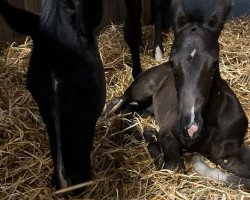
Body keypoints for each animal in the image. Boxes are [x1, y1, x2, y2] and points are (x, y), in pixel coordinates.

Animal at [105, 0, 250, 191]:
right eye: (172, 63)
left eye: (215, 63)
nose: (190, 127)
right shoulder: (168, 134)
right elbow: (174, 166)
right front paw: (151, 136)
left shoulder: (226, 152)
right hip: (141, 89)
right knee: (119, 101)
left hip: (147, 107)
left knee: (131, 110)